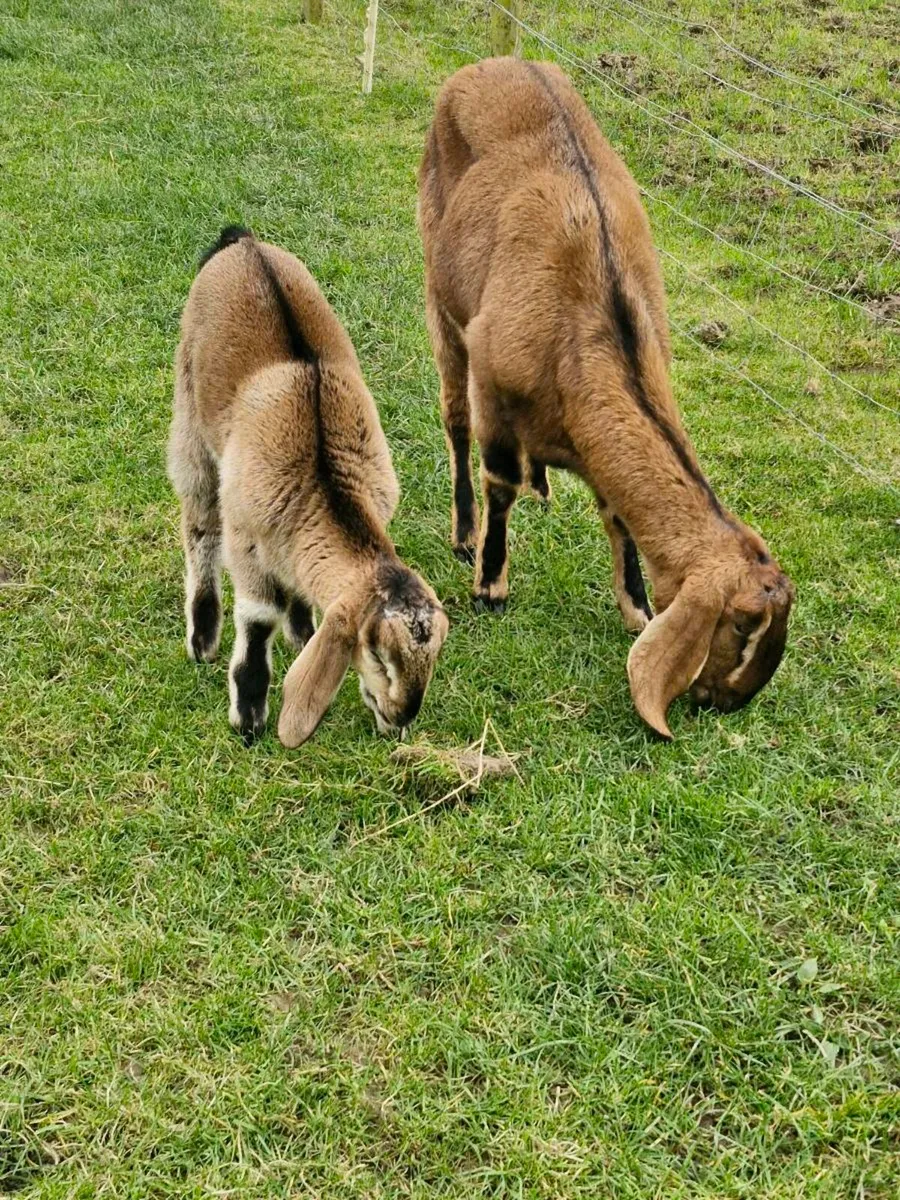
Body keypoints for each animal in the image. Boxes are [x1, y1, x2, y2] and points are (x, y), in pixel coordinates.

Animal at [167, 227, 449, 746]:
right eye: (378, 655)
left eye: (434, 656)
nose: (400, 717)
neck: (324, 482)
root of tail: (242, 243)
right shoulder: (248, 539)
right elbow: (259, 618)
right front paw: (249, 717)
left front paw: (301, 632)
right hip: (190, 415)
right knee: (198, 523)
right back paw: (202, 636)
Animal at [417, 60, 794, 738]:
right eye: (742, 625)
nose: (727, 701)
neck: (593, 322)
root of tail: (492, 65)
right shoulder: (493, 374)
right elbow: (499, 480)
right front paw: (491, 586)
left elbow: (617, 512)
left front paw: (637, 606)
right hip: (440, 289)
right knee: (455, 420)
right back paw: (464, 531)